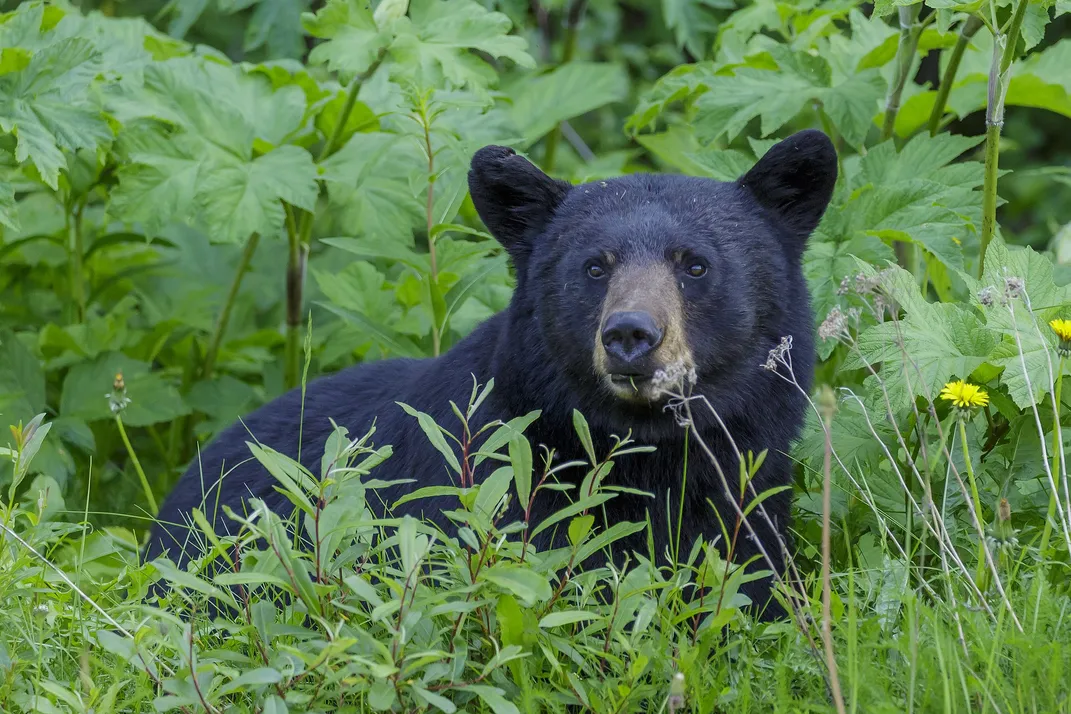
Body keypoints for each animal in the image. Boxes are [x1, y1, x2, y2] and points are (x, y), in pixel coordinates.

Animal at [146, 128, 839, 620]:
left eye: (694, 264)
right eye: (595, 266)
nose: (631, 335)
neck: (649, 454)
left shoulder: (749, 496)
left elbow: (754, 588)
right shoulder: (491, 492)